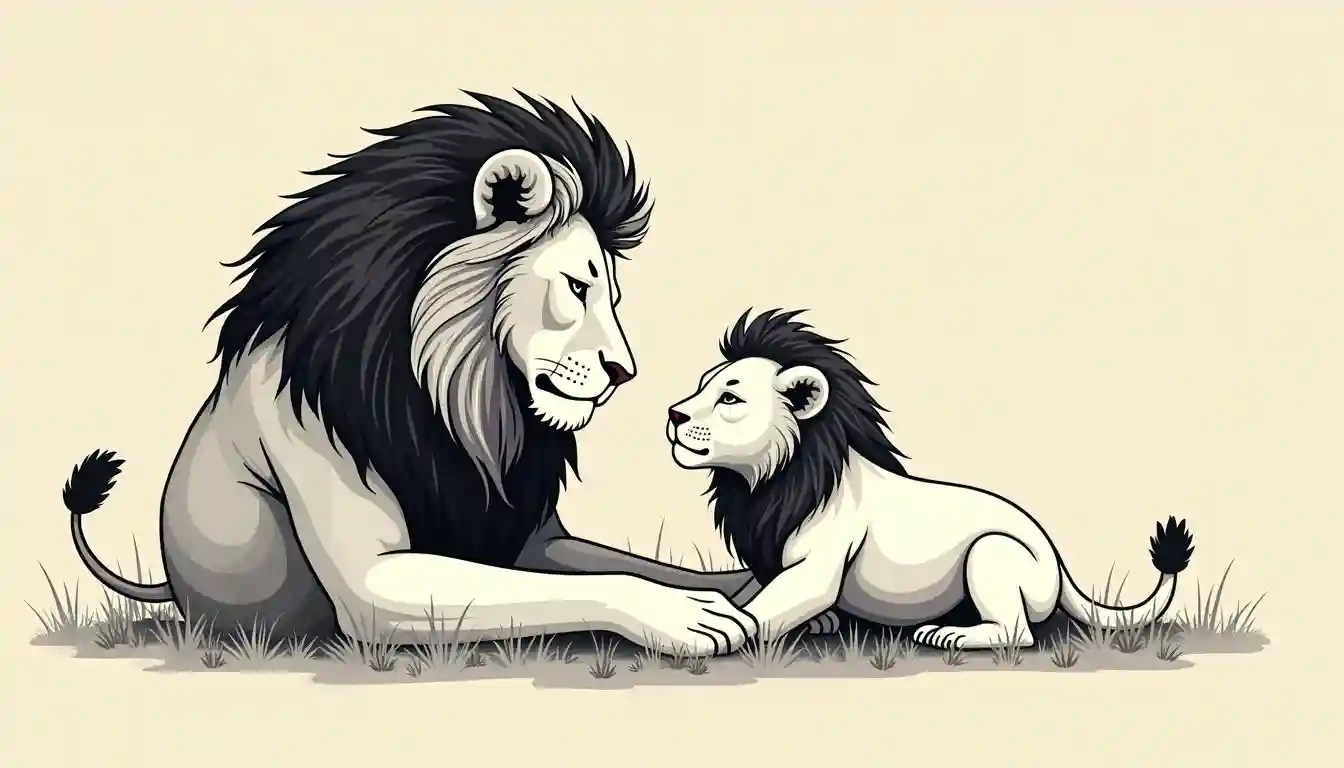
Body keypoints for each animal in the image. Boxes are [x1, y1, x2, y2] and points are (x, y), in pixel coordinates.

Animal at [59, 92, 761, 657]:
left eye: (610, 296)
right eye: (578, 286)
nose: (624, 370)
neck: (468, 403)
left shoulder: (528, 537)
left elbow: (632, 564)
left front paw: (740, 584)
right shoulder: (362, 553)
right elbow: (614, 581)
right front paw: (687, 615)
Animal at [663, 308, 1196, 650]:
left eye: (729, 398)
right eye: (702, 386)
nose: (672, 414)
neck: (765, 483)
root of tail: (1059, 563)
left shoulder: (820, 563)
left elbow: (769, 606)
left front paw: (720, 627)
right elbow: (761, 591)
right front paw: (818, 623)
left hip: (994, 549)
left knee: (1018, 632)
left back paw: (951, 634)